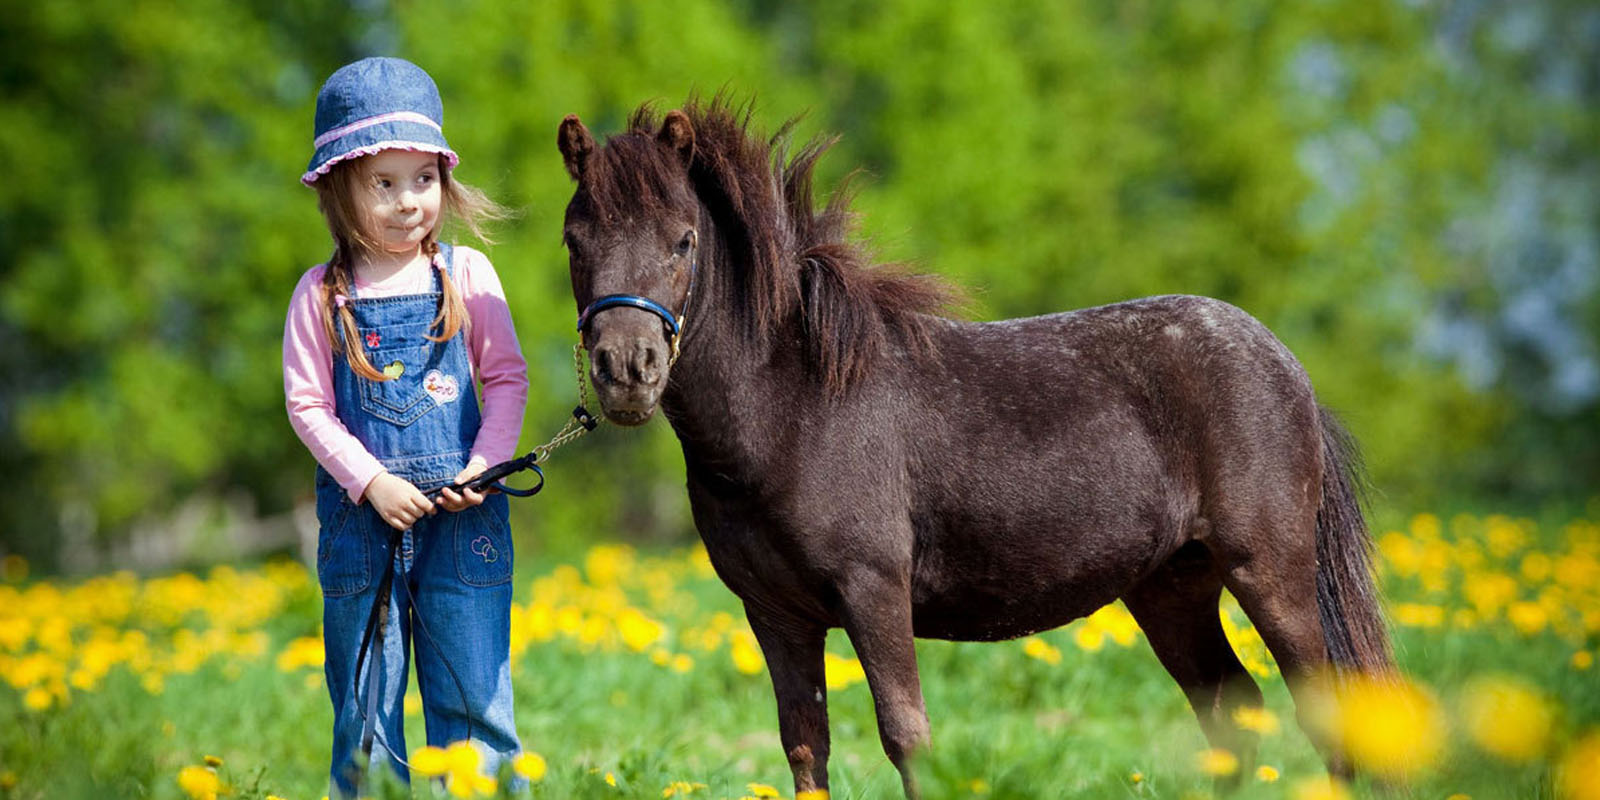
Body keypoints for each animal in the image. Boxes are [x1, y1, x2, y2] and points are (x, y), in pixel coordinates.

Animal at [553, 96, 1388, 796]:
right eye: (574, 240)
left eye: (683, 240)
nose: (627, 371)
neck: (793, 409)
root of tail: (1283, 364)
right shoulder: (776, 614)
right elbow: (804, 745)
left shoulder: (874, 592)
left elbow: (906, 738)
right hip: (1170, 587)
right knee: (1229, 709)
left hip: (1269, 575)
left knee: (1327, 713)